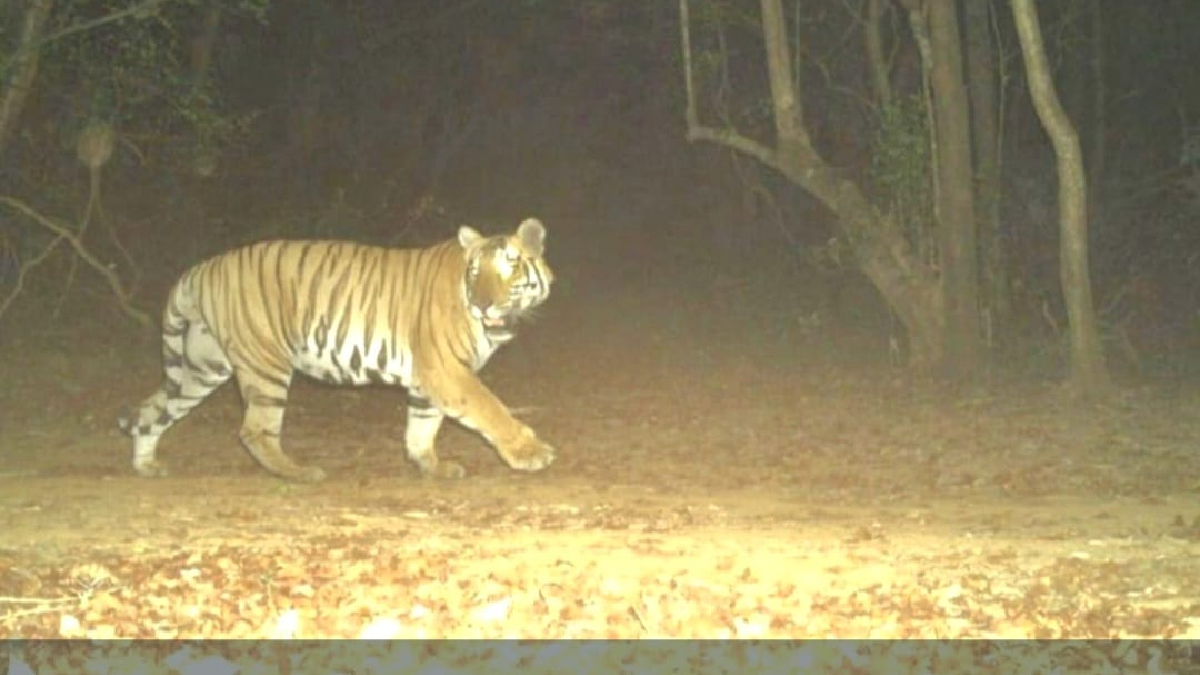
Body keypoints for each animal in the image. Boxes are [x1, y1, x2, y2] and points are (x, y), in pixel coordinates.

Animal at [118, 218, 556, 482]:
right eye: (475, 272)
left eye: (510, 266)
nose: (482, 305)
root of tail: (203, 268)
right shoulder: (446, 369)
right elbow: (490, 408)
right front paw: (531, 452)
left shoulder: (428, 378)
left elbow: (421, 426)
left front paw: (432, 466)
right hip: (266, 364)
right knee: (255, 431)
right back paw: (299, 473)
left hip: (201, 367)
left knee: (151, 410)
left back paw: (146, 465)